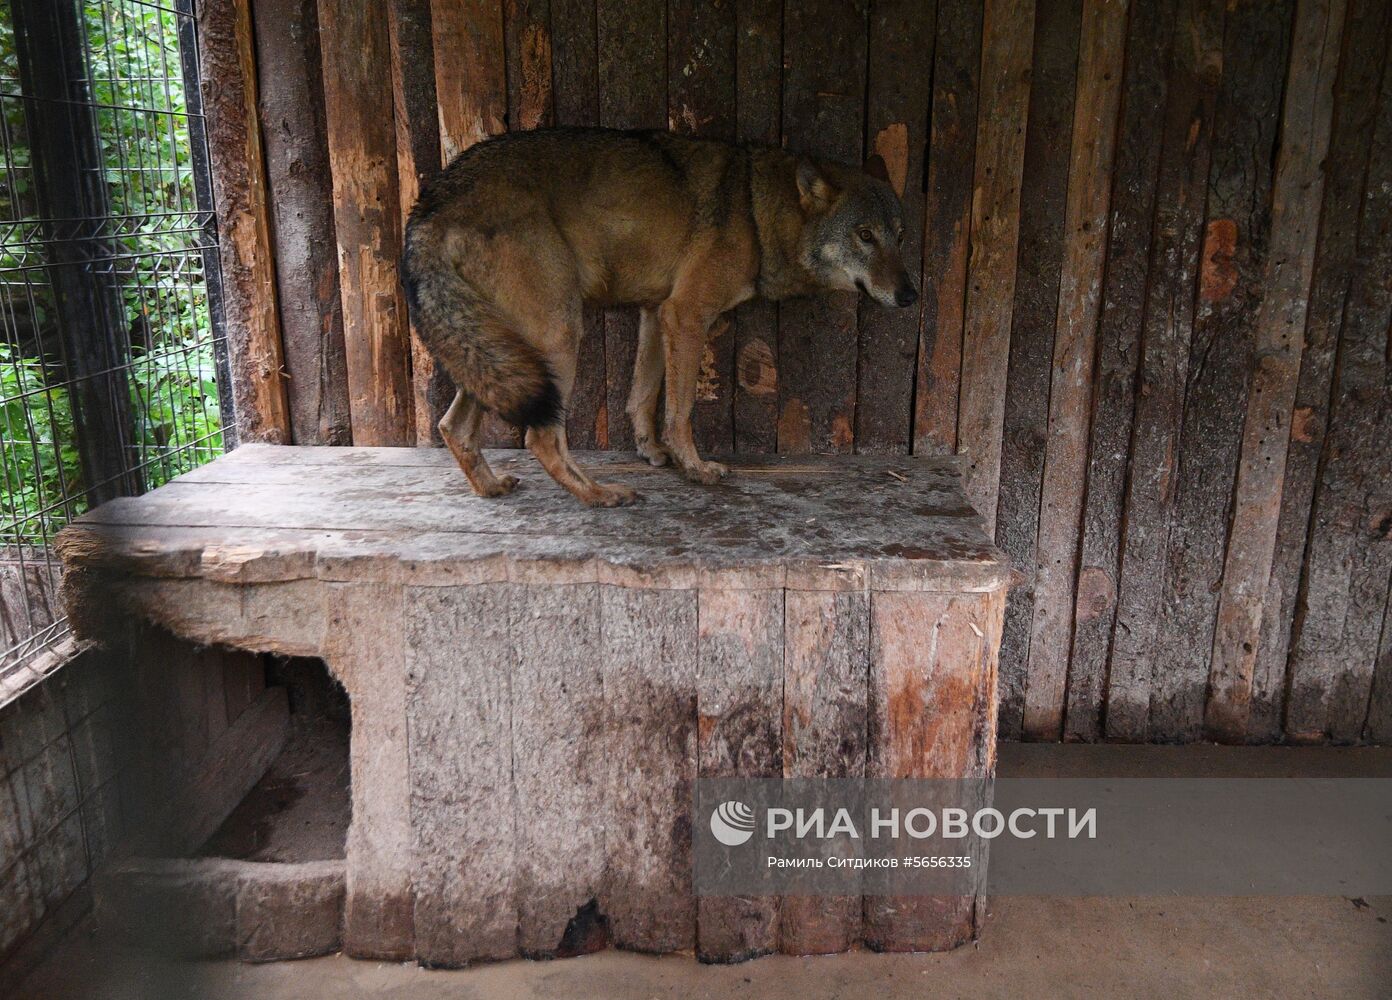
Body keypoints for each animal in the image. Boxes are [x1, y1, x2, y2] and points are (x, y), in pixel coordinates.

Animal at [403, 129, 918, 509]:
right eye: (864, 236)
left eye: (898, 236)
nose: (911, 295)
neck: (755, 210)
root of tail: (429, 204)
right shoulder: (686, 315)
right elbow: (681, 408)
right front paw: (696, 468)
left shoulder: (656, 313)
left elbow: (642, 395)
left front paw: (651, 451)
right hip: (560, 339)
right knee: (541, 438)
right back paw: (599, 495)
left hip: (501, 355)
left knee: (453, 426)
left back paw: (491, 488)